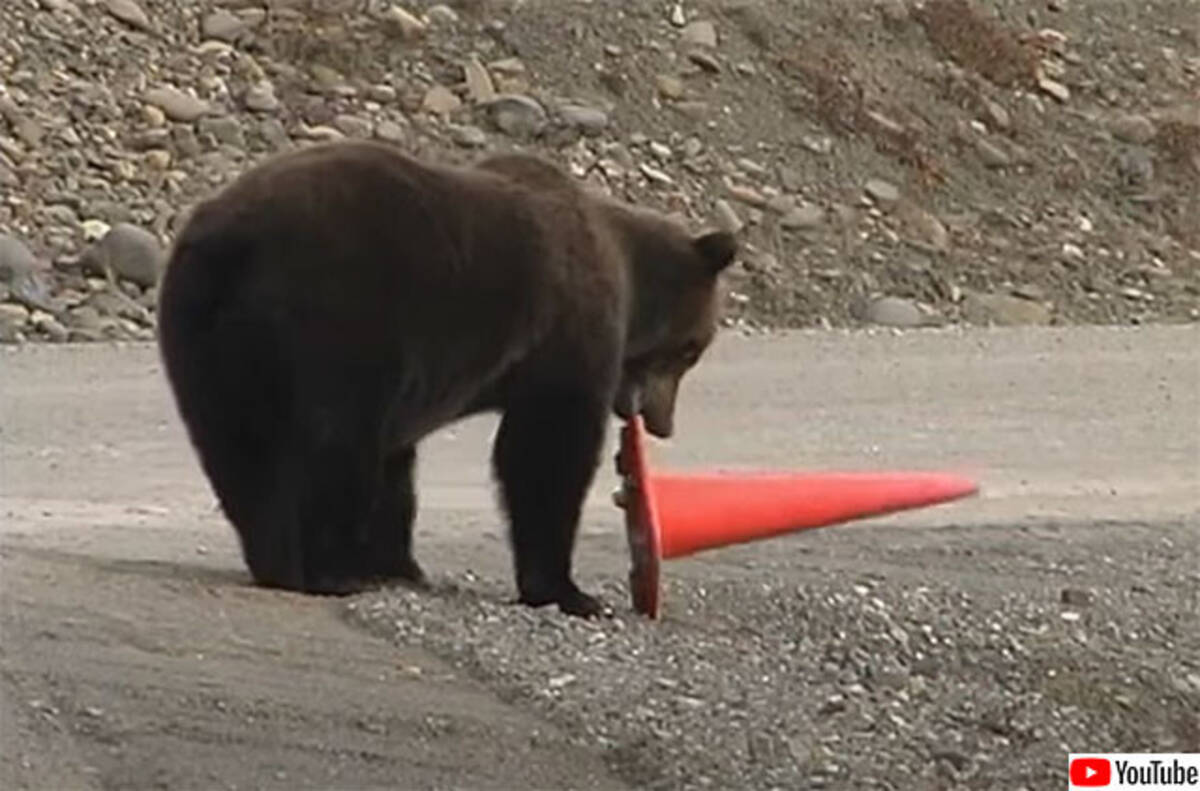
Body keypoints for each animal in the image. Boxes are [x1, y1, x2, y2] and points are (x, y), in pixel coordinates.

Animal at [154, 139, 734, 614]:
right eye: (693, 349)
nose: (661, 422)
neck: (630, 282)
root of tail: (232, 241)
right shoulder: (565, 337)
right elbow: (545, 453)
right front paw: (569, 591)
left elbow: (397, 466)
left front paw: (399, 565)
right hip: (338, 315)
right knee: (334, 443)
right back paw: (328, 570)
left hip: (205, 335)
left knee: (239, 448)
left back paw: (276, 558)